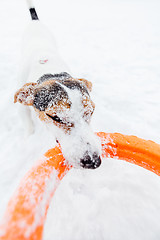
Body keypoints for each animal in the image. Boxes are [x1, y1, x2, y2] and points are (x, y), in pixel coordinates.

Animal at [14, 0, 101, 169]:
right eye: (56, 117)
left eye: (91, 111)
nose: (93, 162)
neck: (50, 71)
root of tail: (35, 21)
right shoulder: (22, 107)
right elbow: (28, 124)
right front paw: (28, 138)